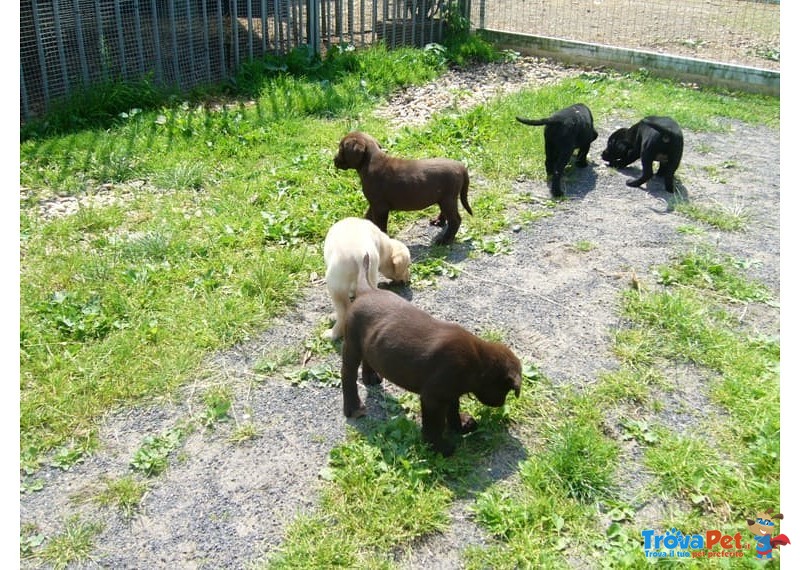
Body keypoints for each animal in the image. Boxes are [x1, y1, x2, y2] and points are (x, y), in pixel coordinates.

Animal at [340, 253, 520, 452]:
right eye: (506, 390)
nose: (501, 404)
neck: (477, 363)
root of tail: (367, 291)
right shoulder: (433, 397)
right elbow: (434, 425)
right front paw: (440, 447)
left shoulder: (451, 392)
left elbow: (453, 409)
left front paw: (459, 426)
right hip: (352, 343)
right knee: (347, 374)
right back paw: (353, 406)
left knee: (368, 358)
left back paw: (371, 377)